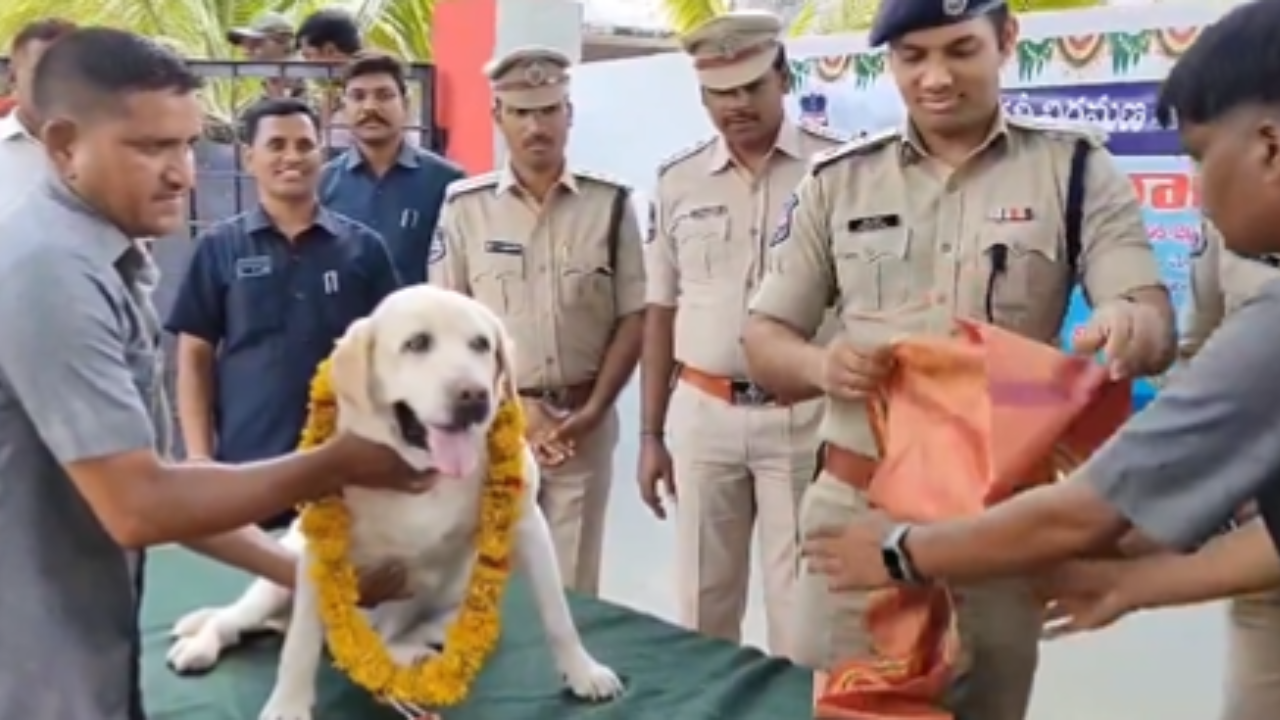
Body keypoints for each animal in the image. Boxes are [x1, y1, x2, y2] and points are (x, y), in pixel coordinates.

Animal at [165, 285, 624, 717]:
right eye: (417, 343)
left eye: (481, 344)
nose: (474, 395)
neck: (426, 469)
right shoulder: (319, 557)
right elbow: (299, 647)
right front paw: (288, 705)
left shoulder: (528, 524)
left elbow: (558, 615)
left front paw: (583, 671)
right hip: (278, 580)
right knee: (232, 620)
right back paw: (200, 646)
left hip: (454, 599)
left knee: (394, 637)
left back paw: (409, 654)